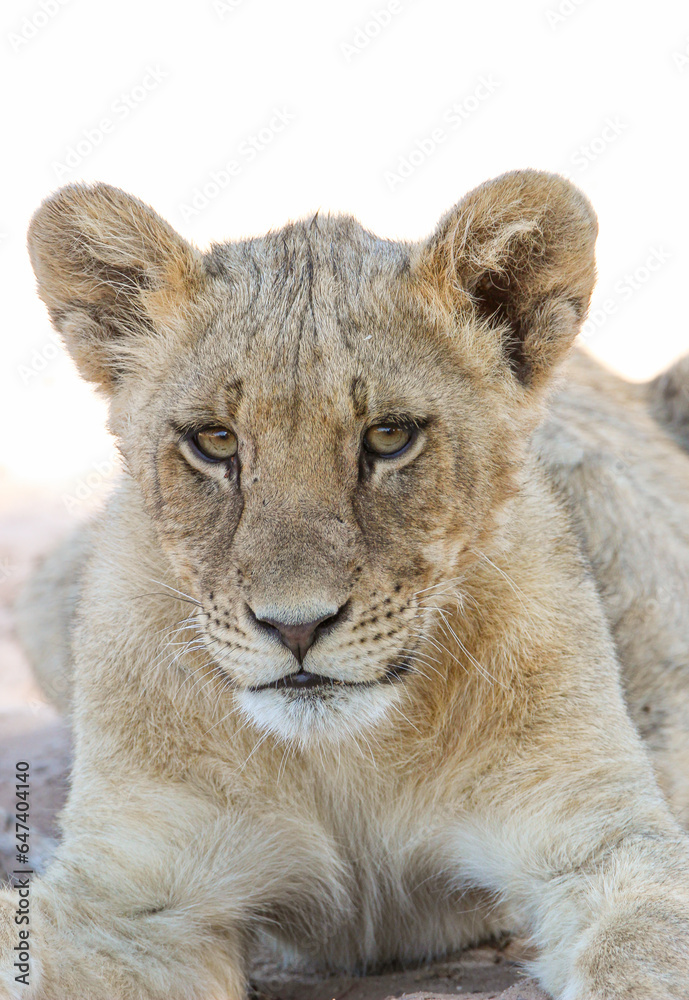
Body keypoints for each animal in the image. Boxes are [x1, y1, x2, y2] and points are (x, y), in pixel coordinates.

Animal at [2, 169, 689, 1000]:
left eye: (389, 436)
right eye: (215, 441)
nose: (295, 627)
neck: (345, 761)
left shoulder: (601, 842)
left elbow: (641, 962)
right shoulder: (130, 902)